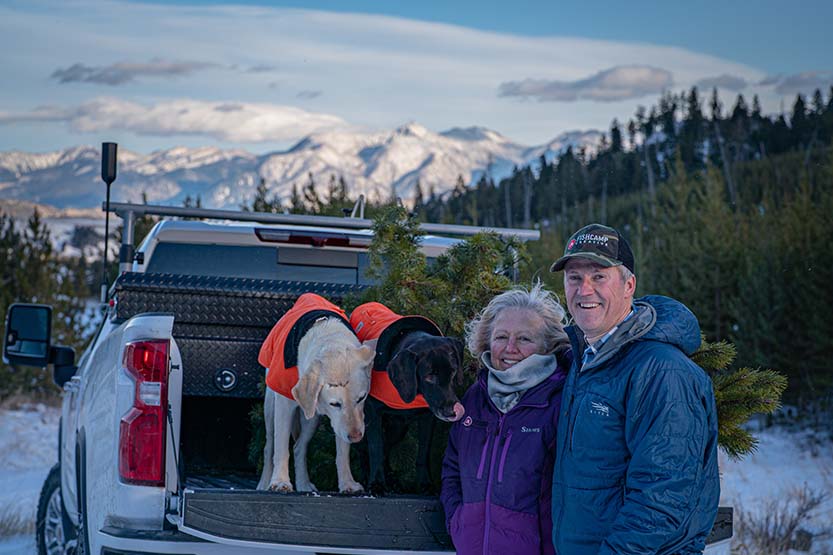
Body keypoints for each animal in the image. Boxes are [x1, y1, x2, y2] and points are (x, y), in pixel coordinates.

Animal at [258, 308, 372, 496]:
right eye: (335, 404)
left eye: (361, 398)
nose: (356, 436)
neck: (328, 336)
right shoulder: (284, 405)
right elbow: (281, 448)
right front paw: (280, 482)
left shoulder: (340, 424)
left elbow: (342, 453)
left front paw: (348, 483)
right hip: (271, 408)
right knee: (269, 447)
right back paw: (264, 482)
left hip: (311, 415)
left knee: (299, 447)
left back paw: (303, 484)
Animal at [364, 330, 468, 496]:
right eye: (429, 376)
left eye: (452, 372)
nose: (452, 411)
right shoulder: (373, 412)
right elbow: (376, 449)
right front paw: (376, 484)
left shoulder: (427, 417)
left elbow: (423, 452)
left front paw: (425, 484)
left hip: (398, 428)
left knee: (387, 446)